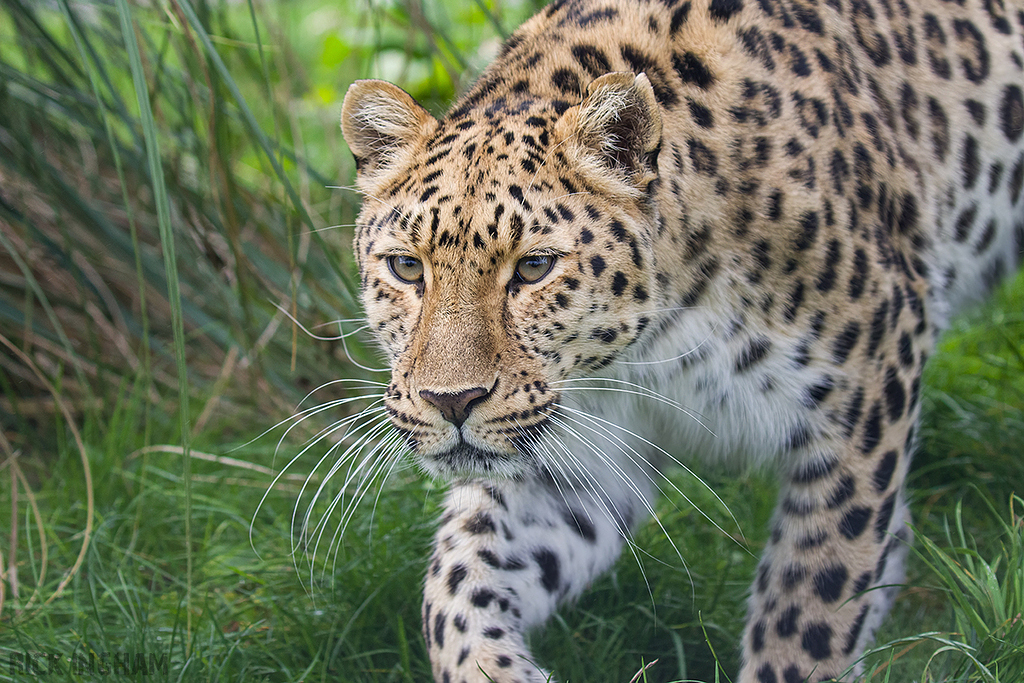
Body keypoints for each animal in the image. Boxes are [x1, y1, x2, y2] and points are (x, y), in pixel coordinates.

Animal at [337, 0, 1024, 679]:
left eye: (533, 267)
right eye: (407, 268)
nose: (451, 402)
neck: (654, 343)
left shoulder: (865, 400)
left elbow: (812, 608)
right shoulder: (584, 458)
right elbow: (455, 585)